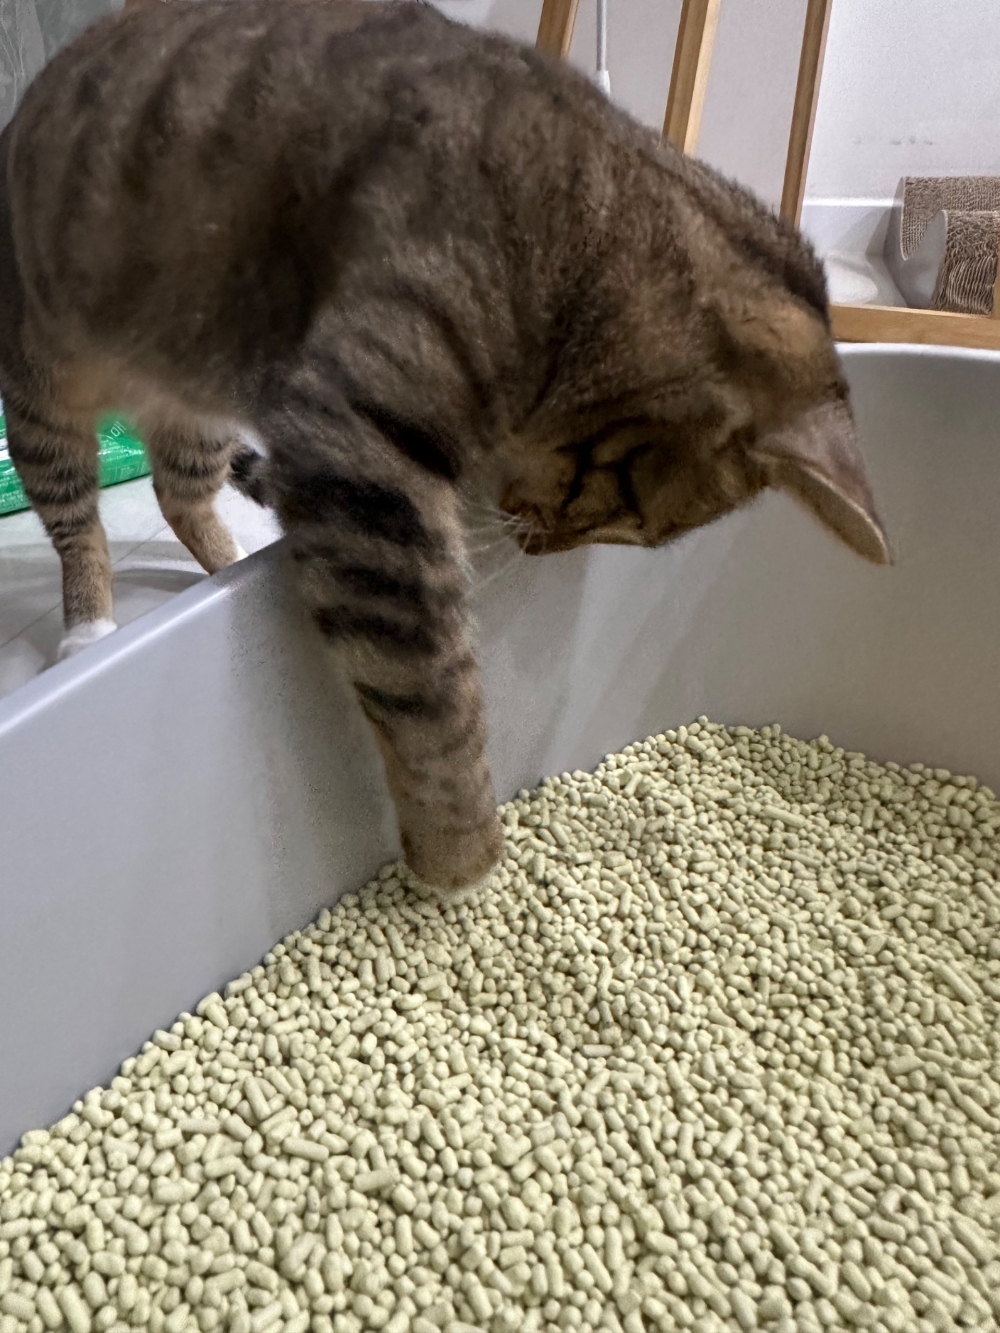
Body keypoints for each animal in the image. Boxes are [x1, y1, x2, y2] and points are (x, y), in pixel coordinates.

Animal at [0, 0, 889, 890]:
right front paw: (461, 852)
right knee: (77, 518)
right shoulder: (355, 446)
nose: (538, 547)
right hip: (41, 388)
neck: (582, 250)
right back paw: (91, 626)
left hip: (199, 404)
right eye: (615, 512)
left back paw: (227, 567)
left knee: (179, 494)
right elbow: (429, 688)